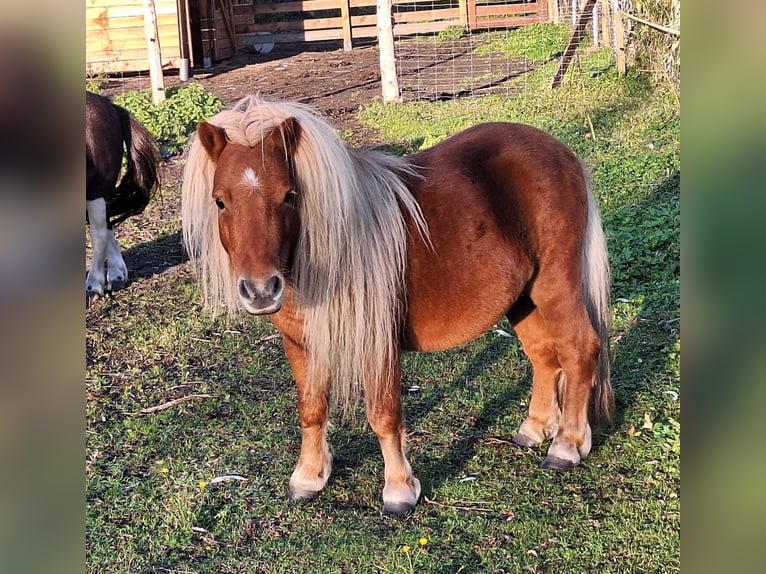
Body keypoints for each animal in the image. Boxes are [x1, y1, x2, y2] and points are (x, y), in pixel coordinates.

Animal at [85, 92, 159, 300]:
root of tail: (110, 106)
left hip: (97, 191)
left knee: (100, 234)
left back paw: (95, 284)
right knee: (107, 227)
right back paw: (116, 275)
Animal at [183, 95, 616, 516]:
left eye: (289, 196)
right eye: (220, 202)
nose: (261, 290)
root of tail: (558, 151)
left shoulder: (380, 345)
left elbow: (384, 415)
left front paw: (399, 490)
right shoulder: (301, 345)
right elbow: (311, 409)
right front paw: (309, 477)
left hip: (553, 285)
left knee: (579, 349)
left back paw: (567, 446)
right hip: (523, 297)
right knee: (544, 355)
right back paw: (535, 429)